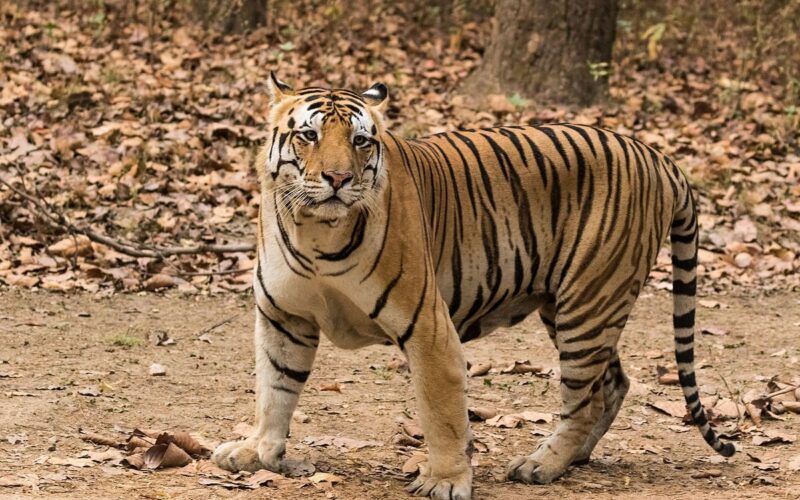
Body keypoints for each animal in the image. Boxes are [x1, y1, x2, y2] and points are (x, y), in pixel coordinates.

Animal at [209, 74, 736, 500]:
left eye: (360, 141)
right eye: (308, 135)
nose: (338, 178)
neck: (315, 231)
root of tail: (658, 156)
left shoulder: (428, 326)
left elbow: (441, 411)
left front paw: (444, 480)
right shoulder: (284, 316)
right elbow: (274, 390)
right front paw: (258, 452)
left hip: (589, 302)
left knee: (583, 399)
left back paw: (542, 464)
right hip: (570, 305)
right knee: (613, 384)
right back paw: (574, 457)